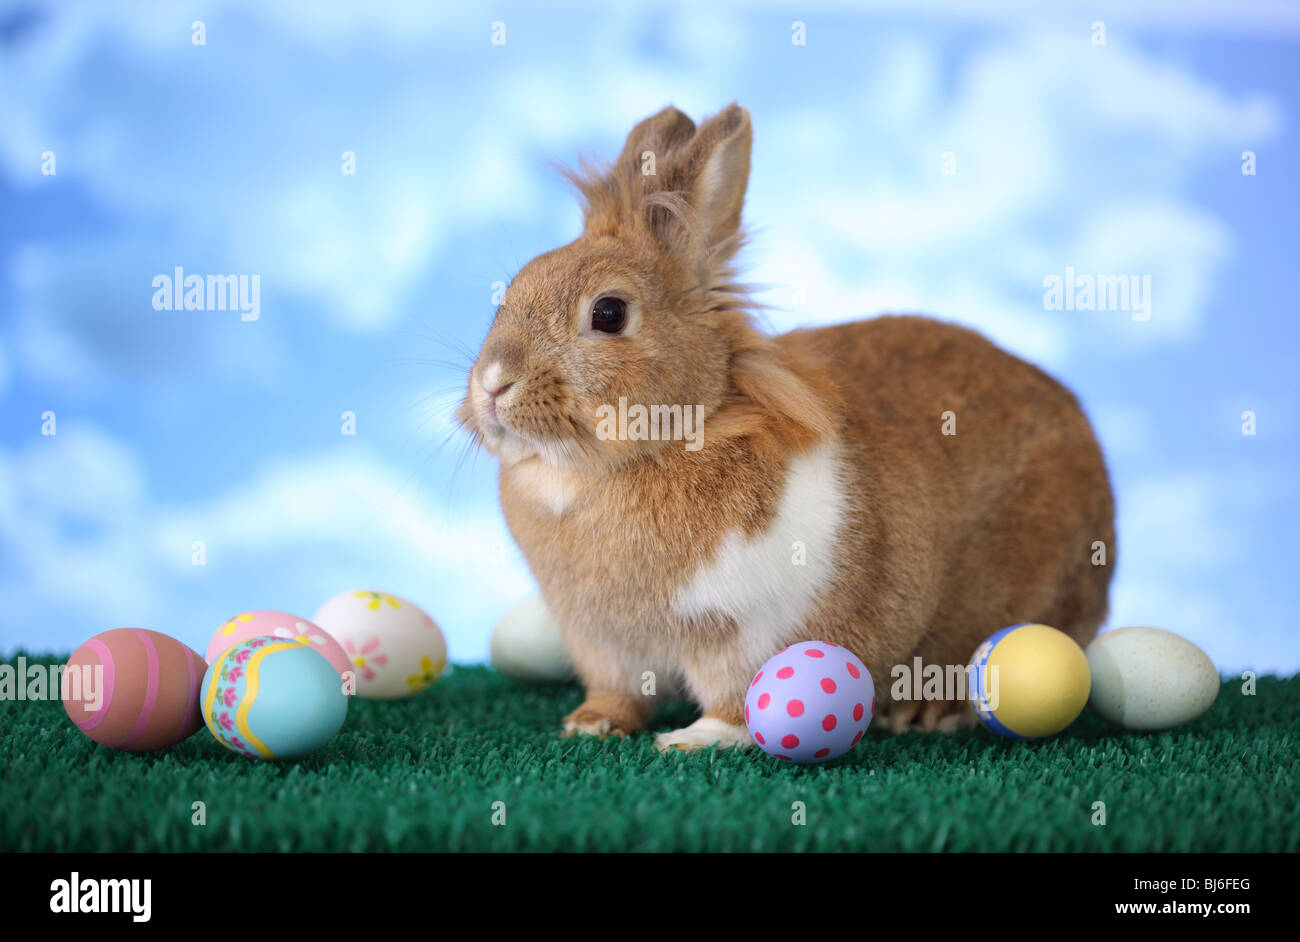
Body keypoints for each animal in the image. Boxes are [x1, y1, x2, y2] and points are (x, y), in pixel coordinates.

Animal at [452, 102, 1112, 748]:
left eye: (609, 313)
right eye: (509, 292)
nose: (494, 383)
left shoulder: (745, 633)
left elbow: (736, 699)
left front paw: (693, 739)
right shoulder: (603, 643)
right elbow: (618, 690)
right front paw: (590, 724)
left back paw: (926, 711)